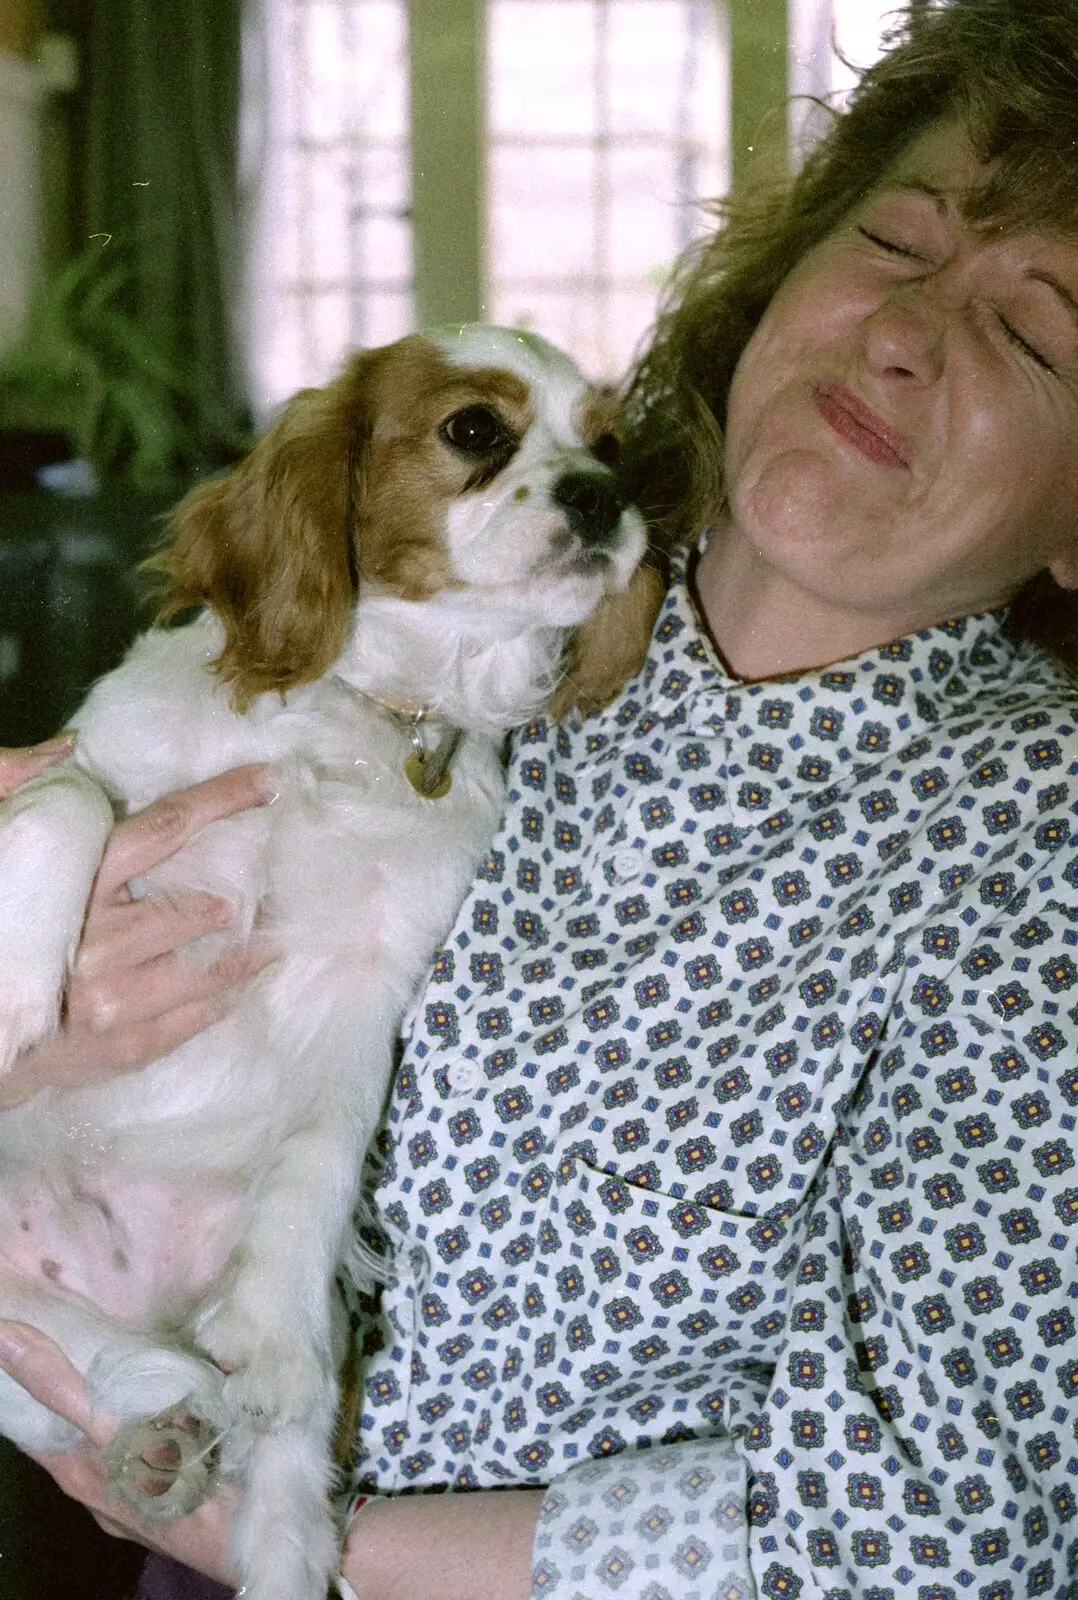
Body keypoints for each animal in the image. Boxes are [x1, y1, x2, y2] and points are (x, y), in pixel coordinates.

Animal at [0, 324, 655, 1600]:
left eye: (612, 446)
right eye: (472, 428)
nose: (605, 498)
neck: (361, 720)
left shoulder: (369, 992)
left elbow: (313, 1166)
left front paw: (270, 1341)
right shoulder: (80, 760)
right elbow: (66, 799)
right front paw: (14, 991)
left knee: (244, 1452)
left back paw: (189, 1443)